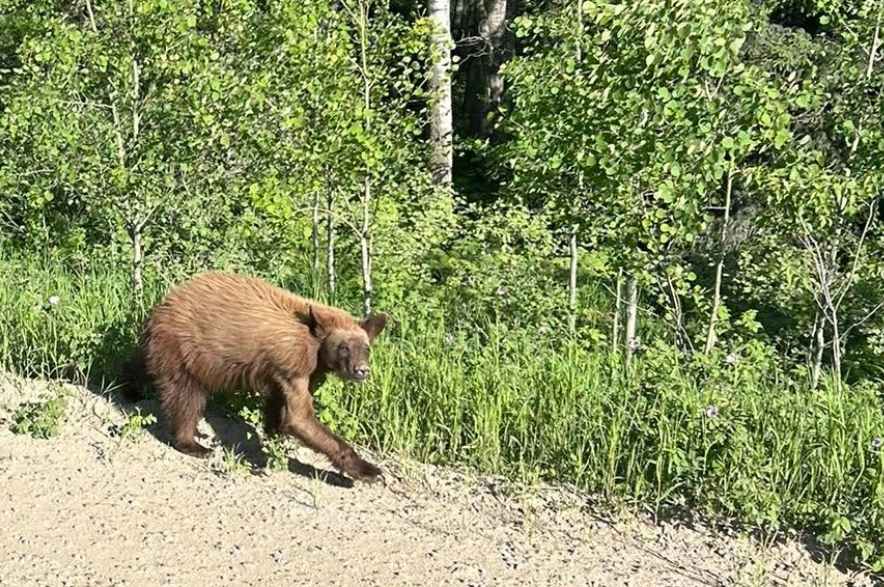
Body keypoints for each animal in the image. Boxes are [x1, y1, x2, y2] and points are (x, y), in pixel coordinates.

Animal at [120, 271, 388, 483]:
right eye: (344, 347)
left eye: (366, 348)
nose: (361, 370)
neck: (315, 342)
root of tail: (161, 307)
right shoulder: (294, 362)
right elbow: (300, 417)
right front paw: (369, 470)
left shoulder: (297, 372)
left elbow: (279, 404)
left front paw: (273, 434)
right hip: (184, 349)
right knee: (186, 397)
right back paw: (192, 443)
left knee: (144, 365)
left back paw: (130, 387)